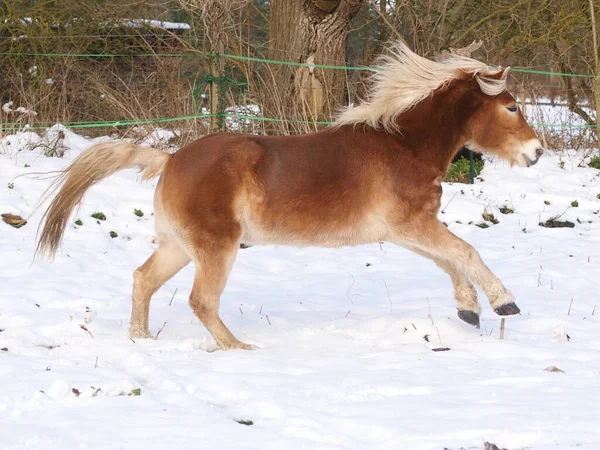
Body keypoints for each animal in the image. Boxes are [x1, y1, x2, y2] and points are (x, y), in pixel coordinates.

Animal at [36, 42, 544, 350]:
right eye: (511, 107)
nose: (537, 152)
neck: (404, 146)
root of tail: (171, 159)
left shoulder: (406, 231)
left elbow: (451, 261)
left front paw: (468, 311)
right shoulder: (414, 225)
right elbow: (466, 252)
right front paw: (504, 303)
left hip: (179, 246)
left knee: (143, 280)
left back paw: (141, 339)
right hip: (216, 247)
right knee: (201, 301)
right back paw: (239, 348)